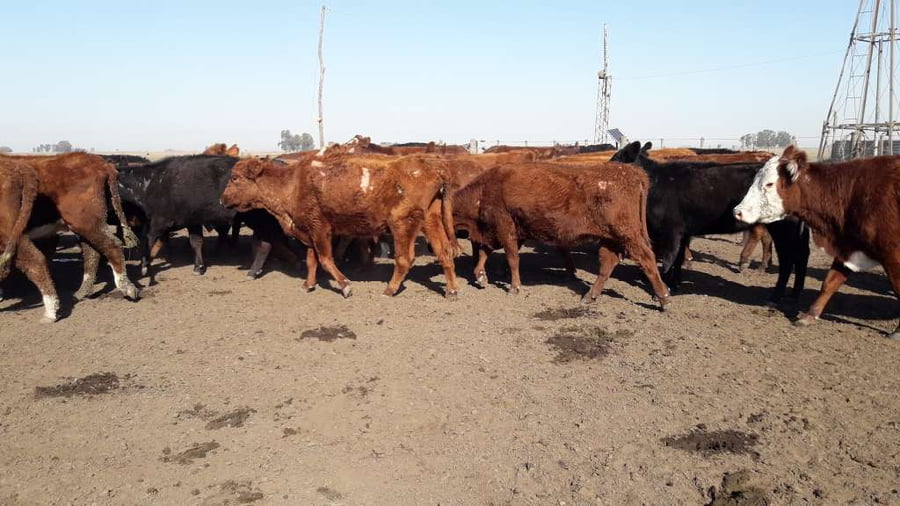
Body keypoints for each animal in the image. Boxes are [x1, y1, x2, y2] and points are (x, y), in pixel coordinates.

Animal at [2, 153, 140, 301]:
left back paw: (126, 287)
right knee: (92, 253)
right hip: (86, 227)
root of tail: (100, 163)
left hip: (86, 223)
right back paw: (83, 291)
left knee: (112, 245)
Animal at [220, 153, 461, 298]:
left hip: (402, 224)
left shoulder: (320, 229)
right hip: (431, 220)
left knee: (405, 258)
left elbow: (326, 260)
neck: (292, 183)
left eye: (234, 178)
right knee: (444, 252)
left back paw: (390, 289)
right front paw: (308, 284)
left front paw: (345, 285)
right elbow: (312, 261)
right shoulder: (309, 232)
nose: (222, 200)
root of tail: (433, 164)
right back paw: (452, 290)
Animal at [451, 161, 671, 309]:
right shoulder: (509, 232)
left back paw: (664, 299)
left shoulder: (505, 229)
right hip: (611, 239)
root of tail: (631, 172)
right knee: (608, 264)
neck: (485, 189)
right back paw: (590, 296)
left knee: (647, 259)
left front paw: (514, 287)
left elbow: (512, 258)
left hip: (628, 235)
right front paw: (480, 276)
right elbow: (485, 253)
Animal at [733, 146, 900, 338]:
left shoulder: (892, 257)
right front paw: (810, 315)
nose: (737, 211)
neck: (854, 194)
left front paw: (897, 331)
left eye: (769, 184)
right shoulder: (847, 247)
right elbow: (829, 282)